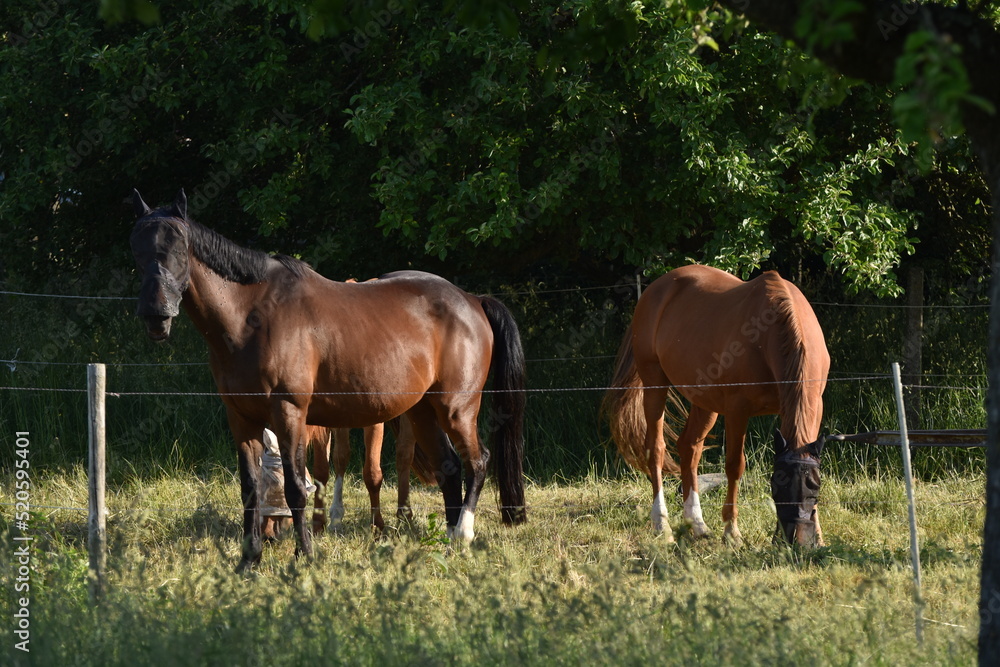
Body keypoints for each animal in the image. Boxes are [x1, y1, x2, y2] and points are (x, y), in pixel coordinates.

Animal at [129, 188, 528, 568]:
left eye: (179, 250)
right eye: (138, 251)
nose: (155, 314)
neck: (252, 318)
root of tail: (472, 300)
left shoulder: (289, 413)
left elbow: (295, 488)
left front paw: (304, 555)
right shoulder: (241, 418)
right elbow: (250, 490)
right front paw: (249, 560)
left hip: (456, 409)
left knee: (478, 461)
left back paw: (462, 535)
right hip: (422, 412)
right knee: (449, 468)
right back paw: (444, 542)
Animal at [600, 264, 828, 544]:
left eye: (814, 486)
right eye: (777, 485)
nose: (798, 539)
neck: (768, 335)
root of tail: (657, 287)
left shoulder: (813, 406)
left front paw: (819, 535)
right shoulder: (737, 411)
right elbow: (735, 466)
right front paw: (732, 532)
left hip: (705, 402)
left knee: (689, 447)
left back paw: (697, 523)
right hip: (655, 385)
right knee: (656, 449)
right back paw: (662, 525)